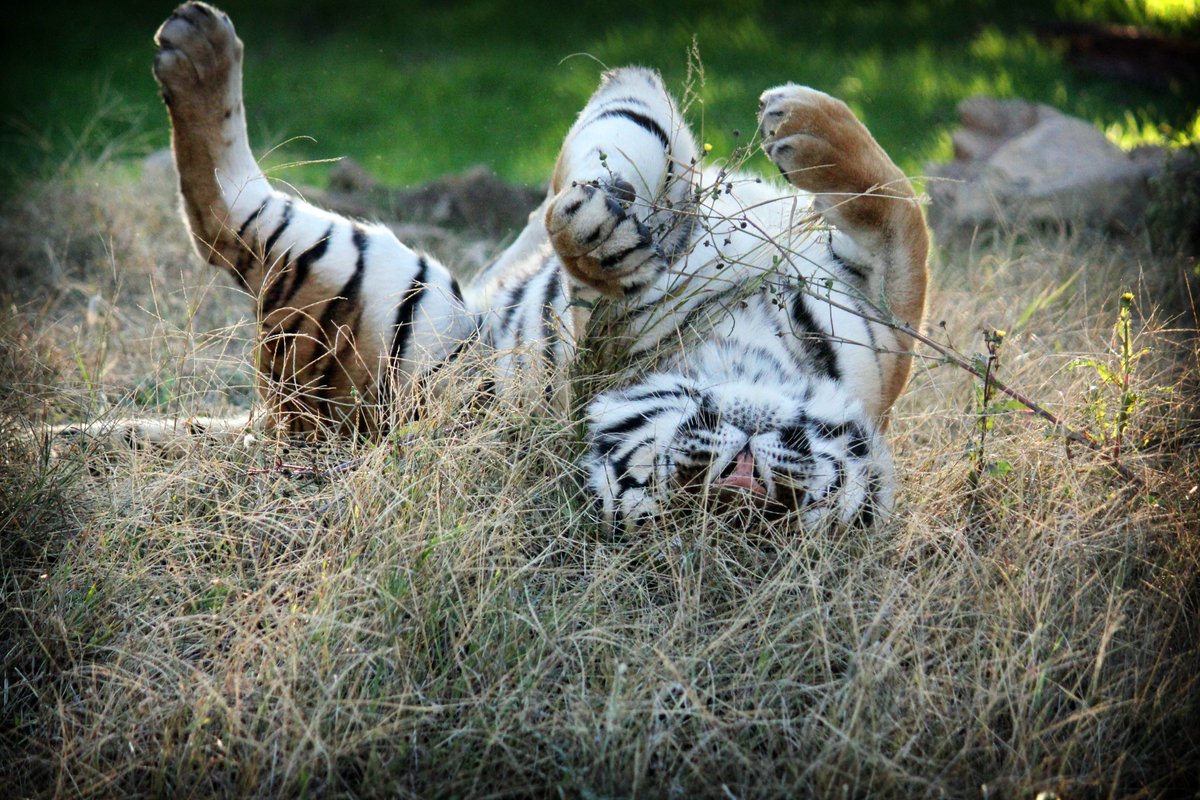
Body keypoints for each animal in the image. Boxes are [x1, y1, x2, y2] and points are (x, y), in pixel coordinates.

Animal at [113, 1, 929, 531]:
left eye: (786, 518)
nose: (738, 485)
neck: (741, 354)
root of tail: (278, 422)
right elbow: (898, 204)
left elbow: (902, 219)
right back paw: (196, 42)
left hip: (376, 298)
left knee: (224, 221)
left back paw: (195, 54)